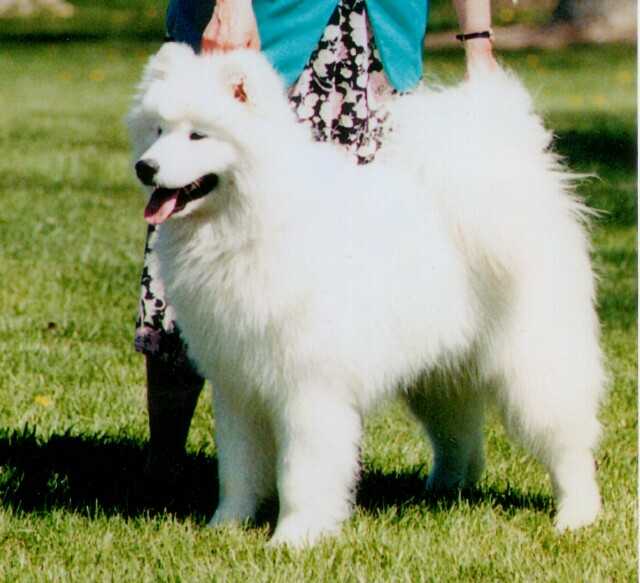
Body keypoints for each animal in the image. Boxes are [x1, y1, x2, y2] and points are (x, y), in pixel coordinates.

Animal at [129, 44, 604, 548]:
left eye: (198, 135)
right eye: (157, 131)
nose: (145, 167)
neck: (251, 221)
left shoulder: (308, 387)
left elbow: (299, 473)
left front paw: (294, 538)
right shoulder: (238, 385)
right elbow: (237, 470)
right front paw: (226, 527)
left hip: (532, 367)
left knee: (568, 445)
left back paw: (576, 515)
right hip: (439, 375)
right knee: (459, 437)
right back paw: (441, 492)